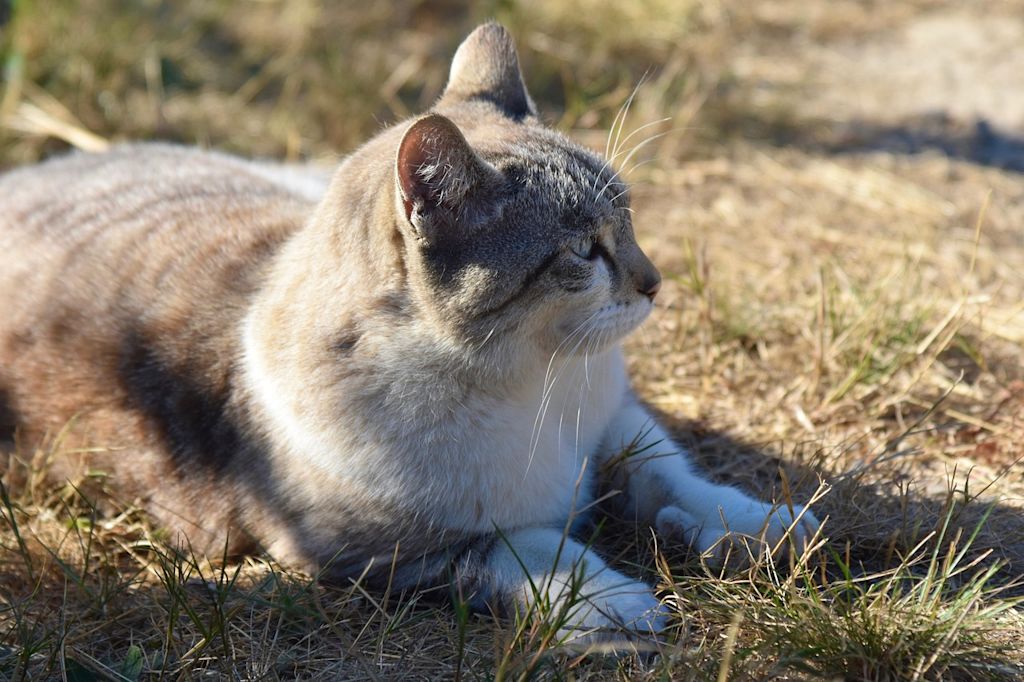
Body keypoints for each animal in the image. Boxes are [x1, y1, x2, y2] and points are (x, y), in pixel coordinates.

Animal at [0, 23, 815, 638]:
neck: (533, 384)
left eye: (630, 219)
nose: (654, 282)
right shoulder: (381, 559)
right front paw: (614, 603)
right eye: (584, 252)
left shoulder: (614, 418)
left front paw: (754, 524)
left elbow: (668, 472)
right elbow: (524, 547)